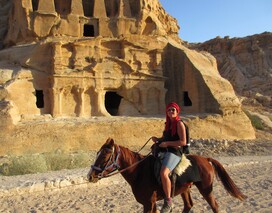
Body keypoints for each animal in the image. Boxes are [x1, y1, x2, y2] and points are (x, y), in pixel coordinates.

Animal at [87, 138, 246, 213]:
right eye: (97, 153)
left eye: (105, 155)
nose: (90, 176)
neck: (139, 171)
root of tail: (206, 159)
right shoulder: (151, 204)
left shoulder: (148, 204)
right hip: (185, 189)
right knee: (188, 205)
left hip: (206, 189)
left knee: (214, 206)